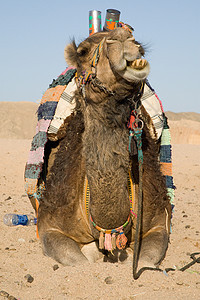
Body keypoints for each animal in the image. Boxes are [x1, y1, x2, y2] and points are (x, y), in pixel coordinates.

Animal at [34, 27, 172, 276]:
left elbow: (144, 261)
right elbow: (79, 262)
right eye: (82, 51)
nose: (124, 37)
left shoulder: (159, 222)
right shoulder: (49, 225)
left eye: (138, 42)